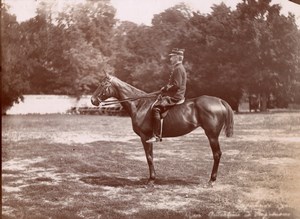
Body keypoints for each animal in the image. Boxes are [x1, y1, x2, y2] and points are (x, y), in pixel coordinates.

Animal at [90, 73, 233, 186]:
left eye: (103, 84)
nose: (92, 100)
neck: (140, 104)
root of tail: (219, 101)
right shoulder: (148, 138)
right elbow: (151, 156)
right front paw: (153, 178)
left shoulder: (145, 137)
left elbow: (149, 157)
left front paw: (151, 180)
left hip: (212, 135)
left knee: (217, 154)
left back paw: (211, 180)